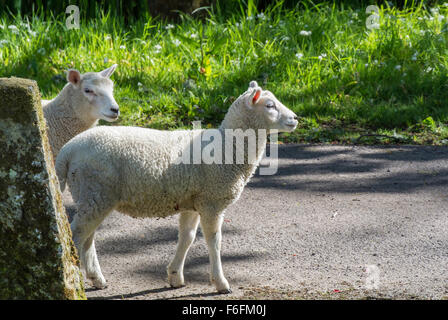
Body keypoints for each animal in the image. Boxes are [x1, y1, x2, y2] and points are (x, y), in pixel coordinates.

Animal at [56, 81, 298, 294]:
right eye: (270, 105)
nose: (295, 118)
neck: (228, 146)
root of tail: (67, 150)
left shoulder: (193, 202)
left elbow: (187, 238)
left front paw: (175, 276)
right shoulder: (212, 202)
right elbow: (214, 241)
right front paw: (221, 283)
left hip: (91, 195)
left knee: (87, 237)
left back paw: (97, 279)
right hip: (96, 192)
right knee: (76, 234)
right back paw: (74, 279)